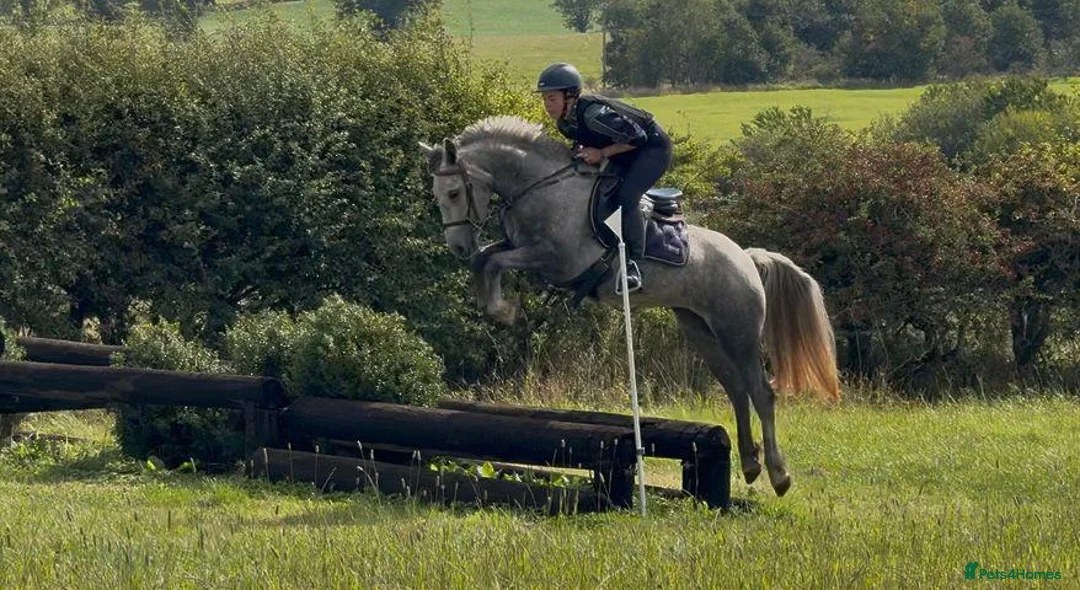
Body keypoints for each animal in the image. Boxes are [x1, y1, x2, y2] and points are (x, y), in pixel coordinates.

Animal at [419, 115, 840, 497]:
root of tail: (747, 258)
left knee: (760, 392)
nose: (457, 247)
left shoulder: (556, 260)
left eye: (454, 193)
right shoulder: (523, 249)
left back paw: (778, 475)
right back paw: (751, 464)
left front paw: (504, 310)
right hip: (699, 329)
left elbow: (492, 262)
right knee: (737, 389)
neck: (540, 189)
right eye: (438, 195)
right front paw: (496, 307)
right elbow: (486, 260)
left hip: (737, 329)